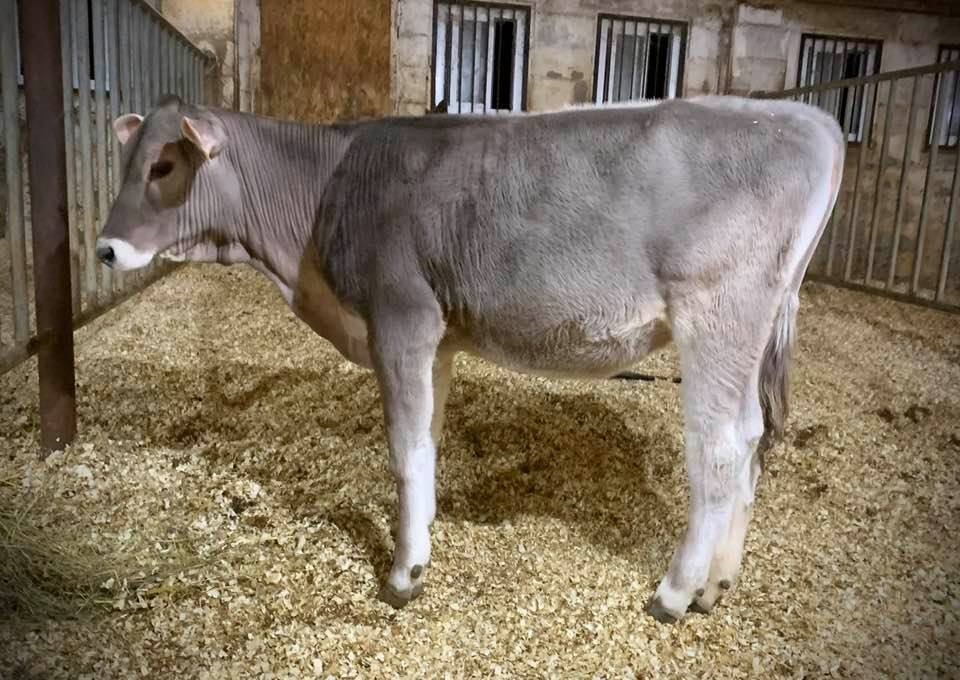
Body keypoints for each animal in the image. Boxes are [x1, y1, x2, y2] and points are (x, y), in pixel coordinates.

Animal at [96, 93, 844, 623]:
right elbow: (427, 440)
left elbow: (402, 450)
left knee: (719, 449)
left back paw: (675, 593)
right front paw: (423, 534)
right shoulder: (436, 336)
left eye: (163, 166)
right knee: (751, 439)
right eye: (127, 164)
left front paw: (403, 574)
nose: (105, 249)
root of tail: (804, 118)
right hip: (750, 329)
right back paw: (718, 585)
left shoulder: (400, 317)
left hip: (714, 313)